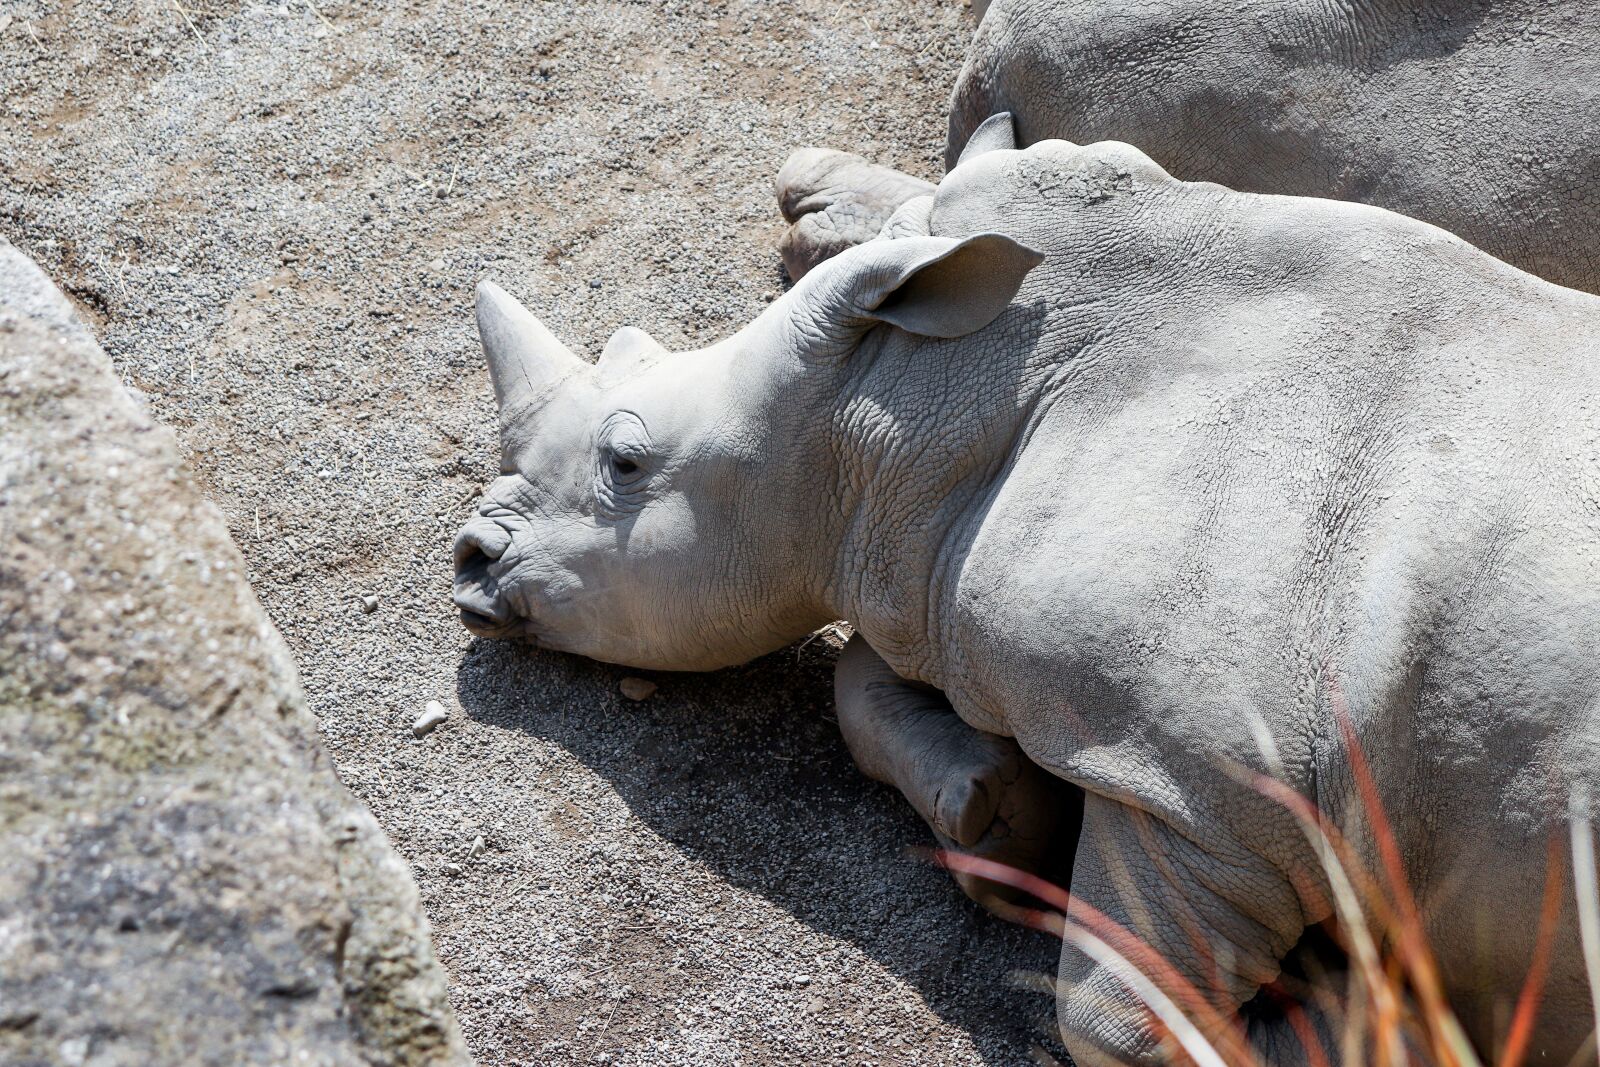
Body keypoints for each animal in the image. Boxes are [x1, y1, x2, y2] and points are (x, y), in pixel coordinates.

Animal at [453, 124, 1600, 1063]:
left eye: (626, 460)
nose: (467, 558)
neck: (900, 401)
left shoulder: (1211, 792)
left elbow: (1119, 1019)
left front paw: (1359, 1004)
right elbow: (863, 669)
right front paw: (995, 817)